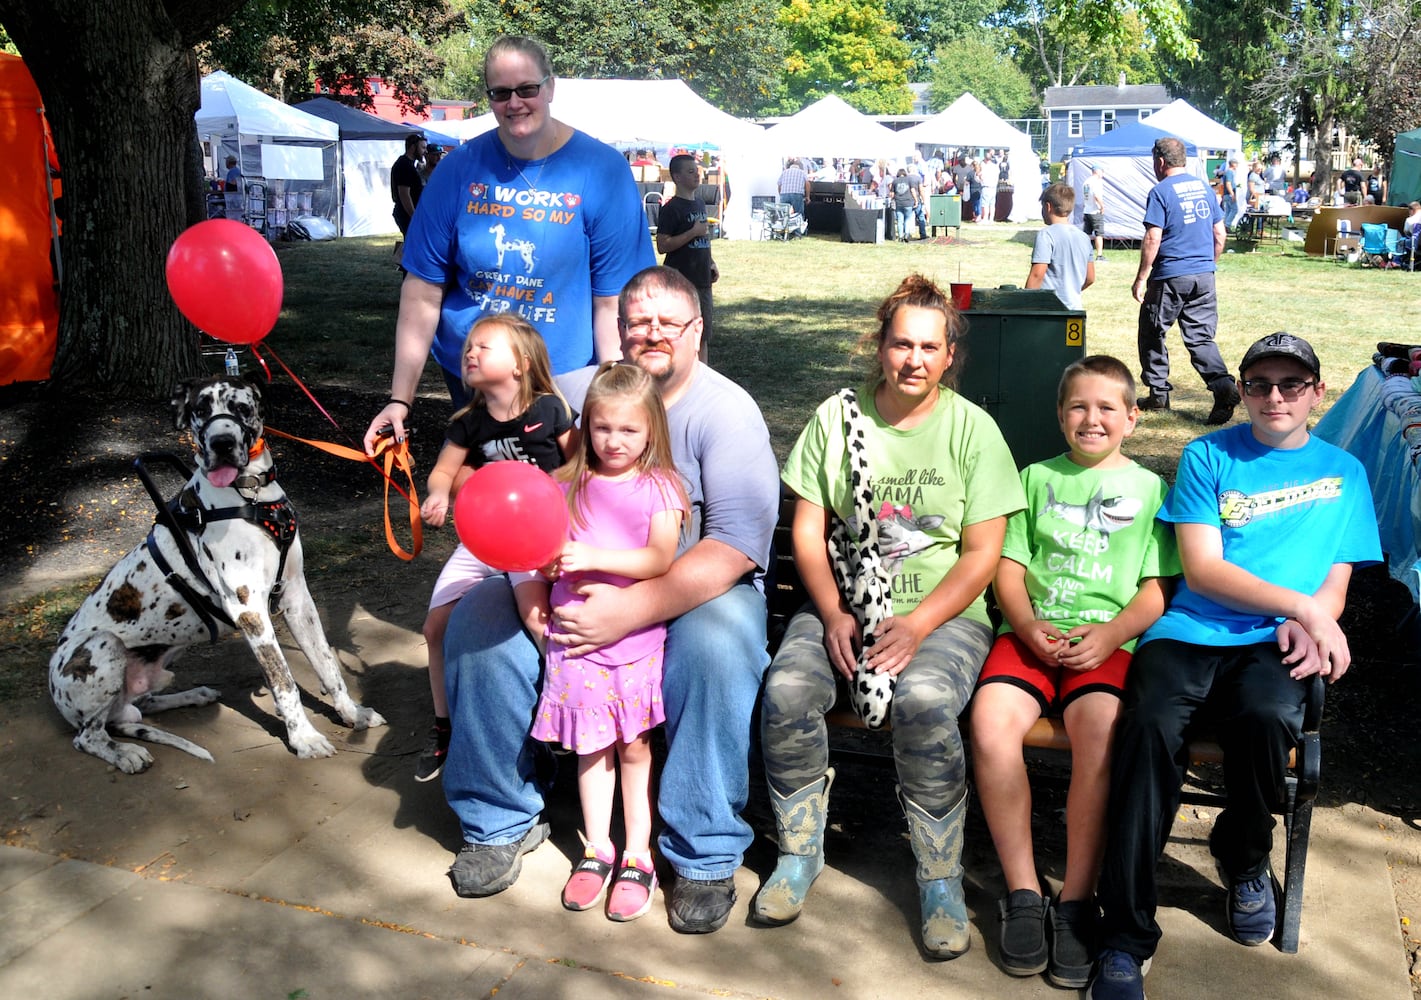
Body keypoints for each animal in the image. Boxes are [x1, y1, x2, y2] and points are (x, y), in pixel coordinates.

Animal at [50, 372, 386, 767]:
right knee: (89, 736)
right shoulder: (250, 610)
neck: (251, 496)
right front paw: (304, 738)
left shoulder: (296, 597)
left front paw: (352, 713)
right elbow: (285, 682)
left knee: (139, 706)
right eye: (200, 410)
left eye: (241, 407)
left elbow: (327, 662)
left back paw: (192, 695)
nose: (221, 442)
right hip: (102, 645)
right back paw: (124, 753)